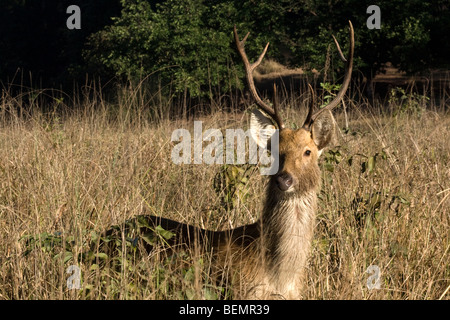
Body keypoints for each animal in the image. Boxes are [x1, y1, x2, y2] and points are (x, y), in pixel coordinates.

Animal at [99, 21, 356, 298]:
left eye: (308, 151)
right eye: (274, 151)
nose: (284, 180)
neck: (280, 277)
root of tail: (101, 238)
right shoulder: (238, 290)